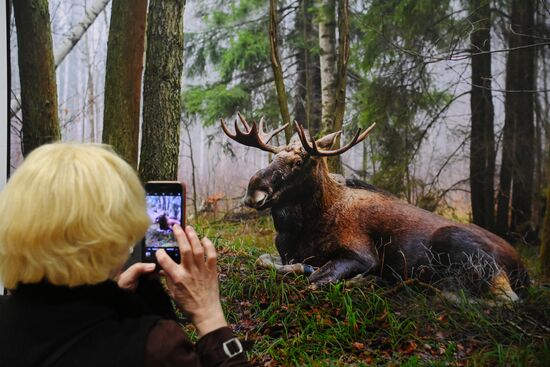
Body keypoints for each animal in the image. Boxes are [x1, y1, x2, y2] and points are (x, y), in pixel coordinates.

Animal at [222, 113, 532, 300]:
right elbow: (266, 261)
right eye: (273, 157)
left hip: (462, 247)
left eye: (299, 161)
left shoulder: (363, 254)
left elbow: (316, 277)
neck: (300, 229)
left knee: (504, 299)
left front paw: (353, 278)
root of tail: (523, 270)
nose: (253, 190)